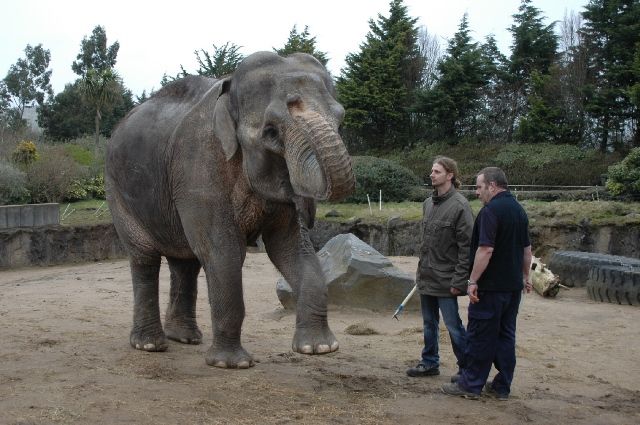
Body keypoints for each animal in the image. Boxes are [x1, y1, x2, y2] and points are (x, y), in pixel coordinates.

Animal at [105, 50, 356, 368]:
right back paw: (150, 345)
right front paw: (231, 364)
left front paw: (319, 348)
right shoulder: (199, 168)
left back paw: (185, 338)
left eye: (341, 119)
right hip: (118, 193)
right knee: (145, 258)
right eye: (270, 132)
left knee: (185, 261)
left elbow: (291, 247)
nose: (311, 212)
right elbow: (222, 250)